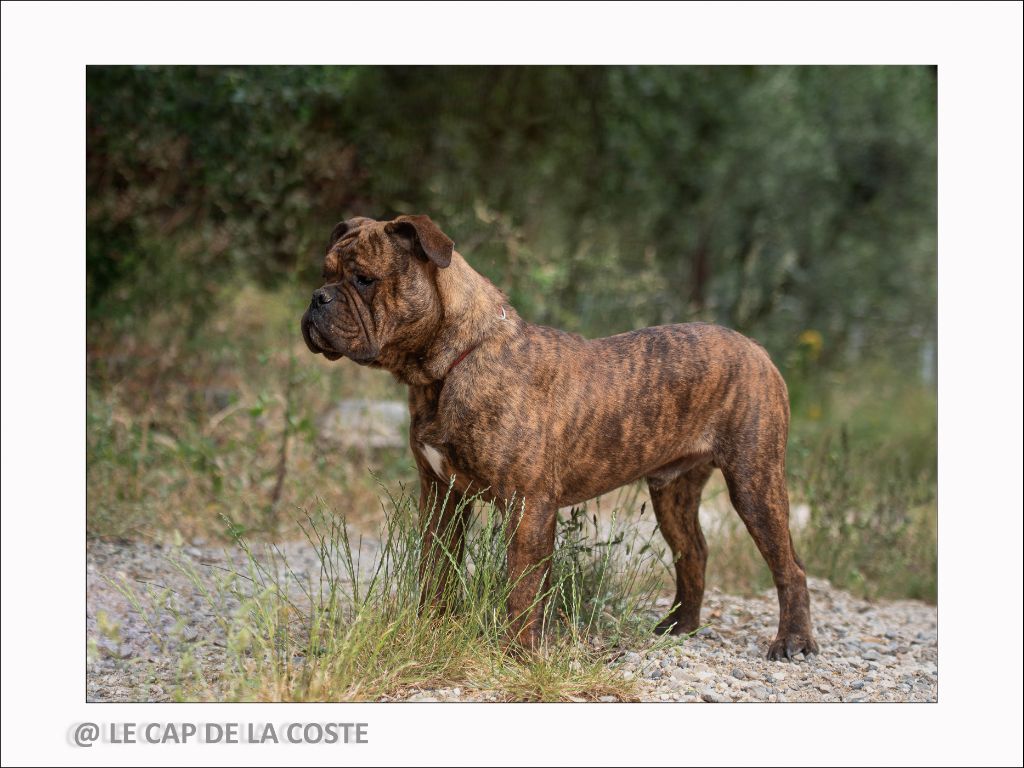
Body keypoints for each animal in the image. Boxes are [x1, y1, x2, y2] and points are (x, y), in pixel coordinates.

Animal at [299, 215, 819, 663]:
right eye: (325, 272)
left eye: (364, 279)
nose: (317, 298)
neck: (446, 370)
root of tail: (756, 348)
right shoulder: (442, 497)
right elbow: (436, 571)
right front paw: (431, 626)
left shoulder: (528, 506)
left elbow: (522, 588)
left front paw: (518, 653)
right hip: (673, 491)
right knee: (693, 551)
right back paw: (679, 627)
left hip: (754, 482)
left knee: (789, 565)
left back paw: (792, 642)